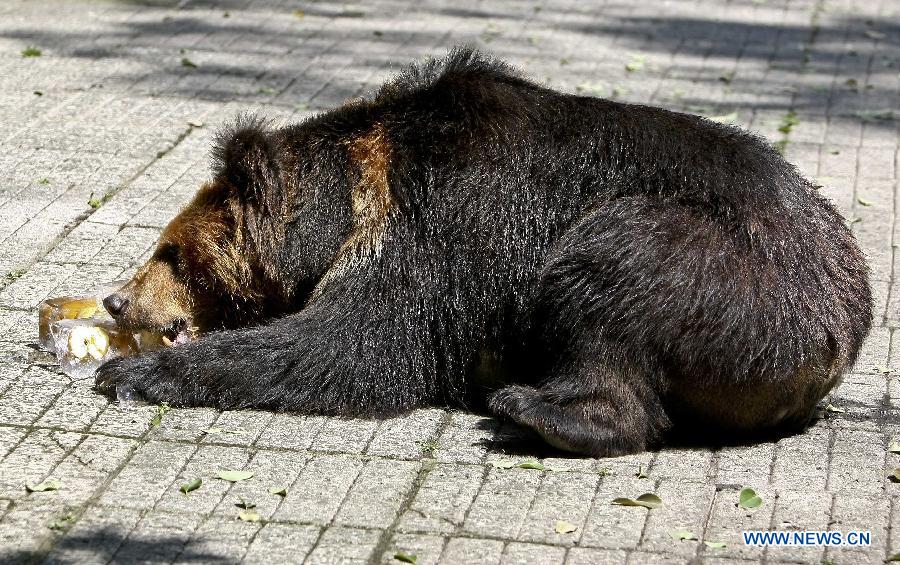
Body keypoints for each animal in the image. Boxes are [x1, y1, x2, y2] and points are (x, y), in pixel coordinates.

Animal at [96, 46, 872, 456]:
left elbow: (357, 345)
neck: (348, 202)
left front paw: (132, 373)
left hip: (722, 269)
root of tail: (846, 322)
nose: (116, 298)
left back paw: (532, 408)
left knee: (606, 275)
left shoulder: (442, 229)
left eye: (170, 253)